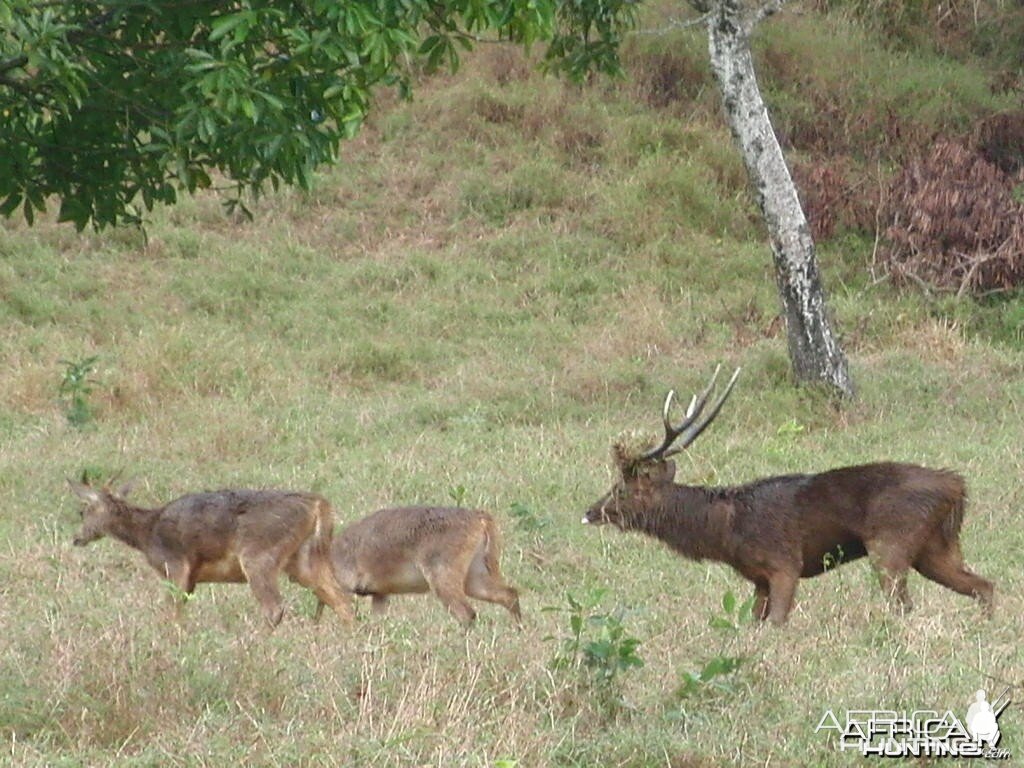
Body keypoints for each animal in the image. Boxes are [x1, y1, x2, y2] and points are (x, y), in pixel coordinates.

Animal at [69, 481, 352, 630]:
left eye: (83, 511)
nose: (77, 538)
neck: (147, 533)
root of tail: (318, 504)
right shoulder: (191, 578)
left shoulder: (175, 565)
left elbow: (171, 612)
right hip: (303, 559)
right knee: (340, 600)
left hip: (259, 556)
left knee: (274, 607)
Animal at [319, 507, 524, 626]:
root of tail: (480, 517)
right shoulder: (380, 595)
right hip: (475, 580)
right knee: (510, 594)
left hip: (443, 579)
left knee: (467, 613)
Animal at [581, 366, 995, 626]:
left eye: (621, 489)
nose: (590, 511)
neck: (726, 532)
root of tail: (956, 486)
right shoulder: (758, 580)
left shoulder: (784, 564)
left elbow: (777, 624)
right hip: (936, 547)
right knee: (984, 585)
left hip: (891, 542)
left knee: (904, 606)